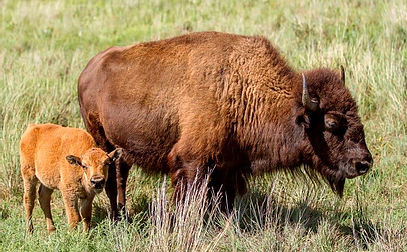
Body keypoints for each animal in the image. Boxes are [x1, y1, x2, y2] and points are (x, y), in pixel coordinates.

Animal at [77, 31, 372, 217]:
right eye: (332, 123)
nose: (364, 163)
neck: (243, 88)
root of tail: (89, 69)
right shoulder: (190, 162)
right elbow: (189, 202)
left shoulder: (228, 169)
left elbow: (221, 202)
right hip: (101, 139)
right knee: (112, 180)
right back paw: (118, 218)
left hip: (121, 149)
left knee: (120, 176)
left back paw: (123, 215)